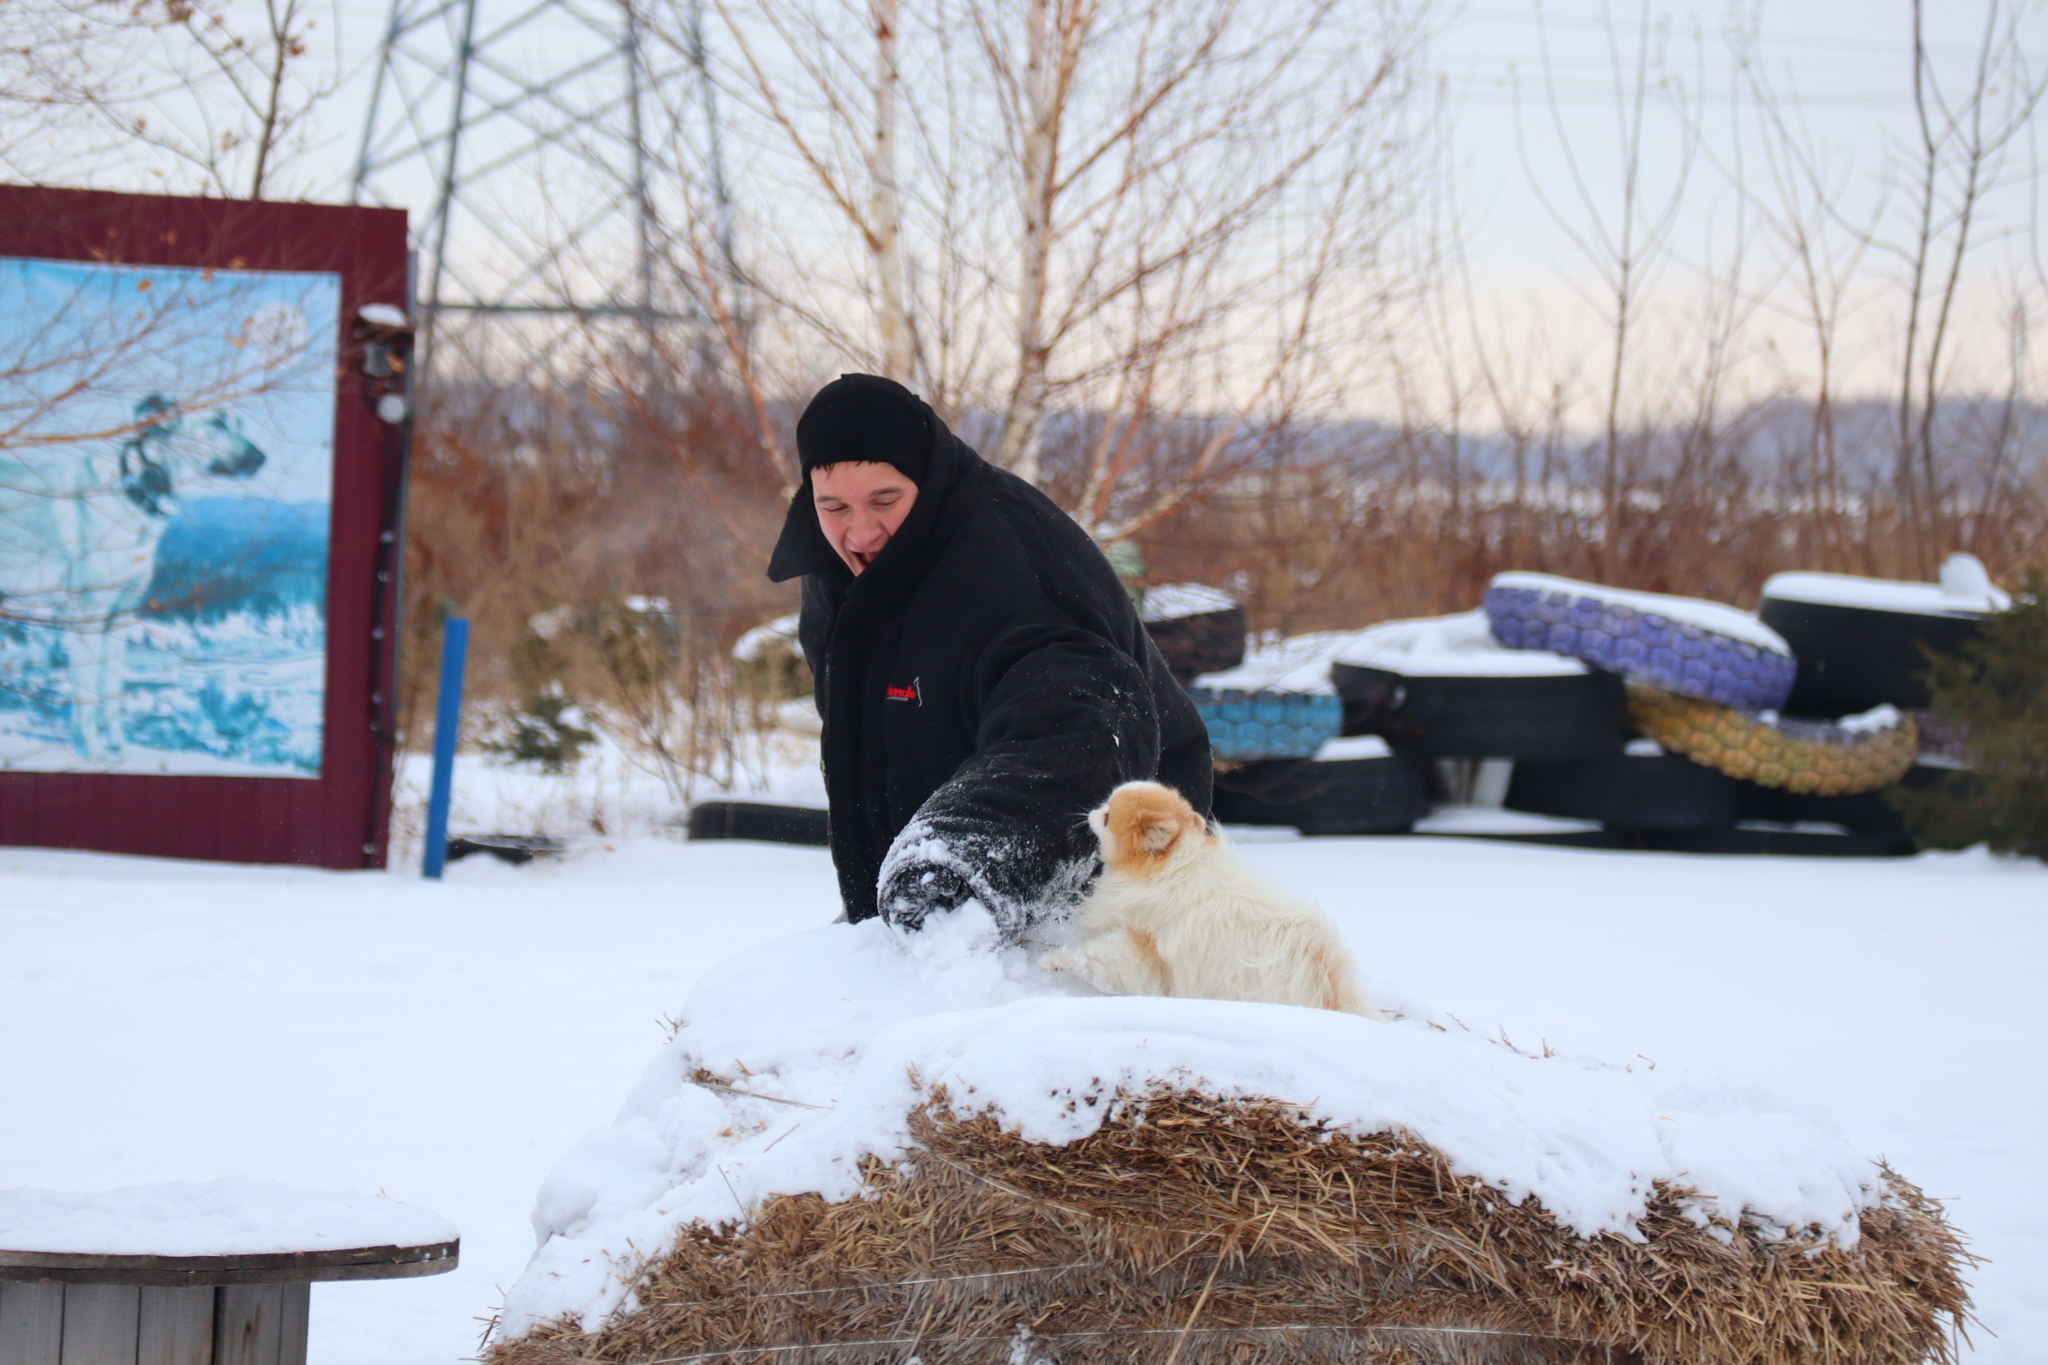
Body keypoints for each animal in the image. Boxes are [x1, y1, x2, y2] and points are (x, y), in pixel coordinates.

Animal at [1040, 777, 1376, 1015]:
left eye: (1108, 816)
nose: (1093, 811)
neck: (1166, 870)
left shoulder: (1144, 949)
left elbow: (1098, 954)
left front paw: (1055, 961)